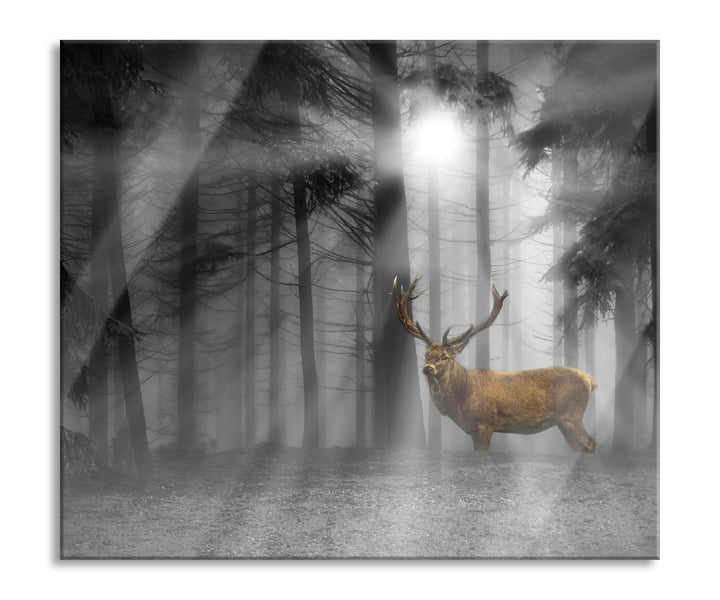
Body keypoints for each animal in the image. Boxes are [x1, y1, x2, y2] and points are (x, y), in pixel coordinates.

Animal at [392, 276, 596, 452]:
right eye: (427, 355)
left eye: (445, 357)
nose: (428, 368)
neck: (461, 398)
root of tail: (590, 380)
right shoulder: (472, 429)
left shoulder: (485, 423)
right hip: (562, 422)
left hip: (572, 415)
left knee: (590, 444)